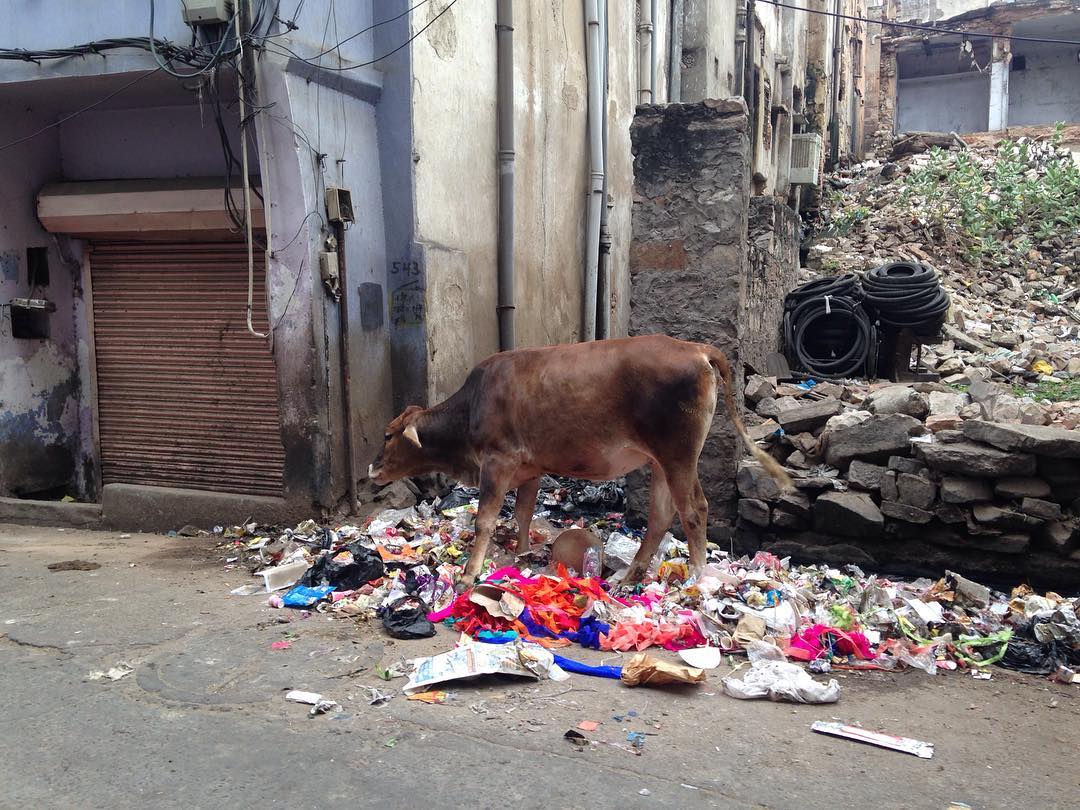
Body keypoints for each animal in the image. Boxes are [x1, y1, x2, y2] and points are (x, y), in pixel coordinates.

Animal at [368, 334, 792, 588]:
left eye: (388, 435)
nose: (372, 469)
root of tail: (696, 348)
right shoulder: (530, 468)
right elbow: (523, 513)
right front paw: (522, 554)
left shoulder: (498, 461)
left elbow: (485, 519)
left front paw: (470, 575)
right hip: (661, 461)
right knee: (660, 516)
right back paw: (630, 577)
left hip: (679, 455)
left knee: (694, 510)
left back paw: (698, 578)